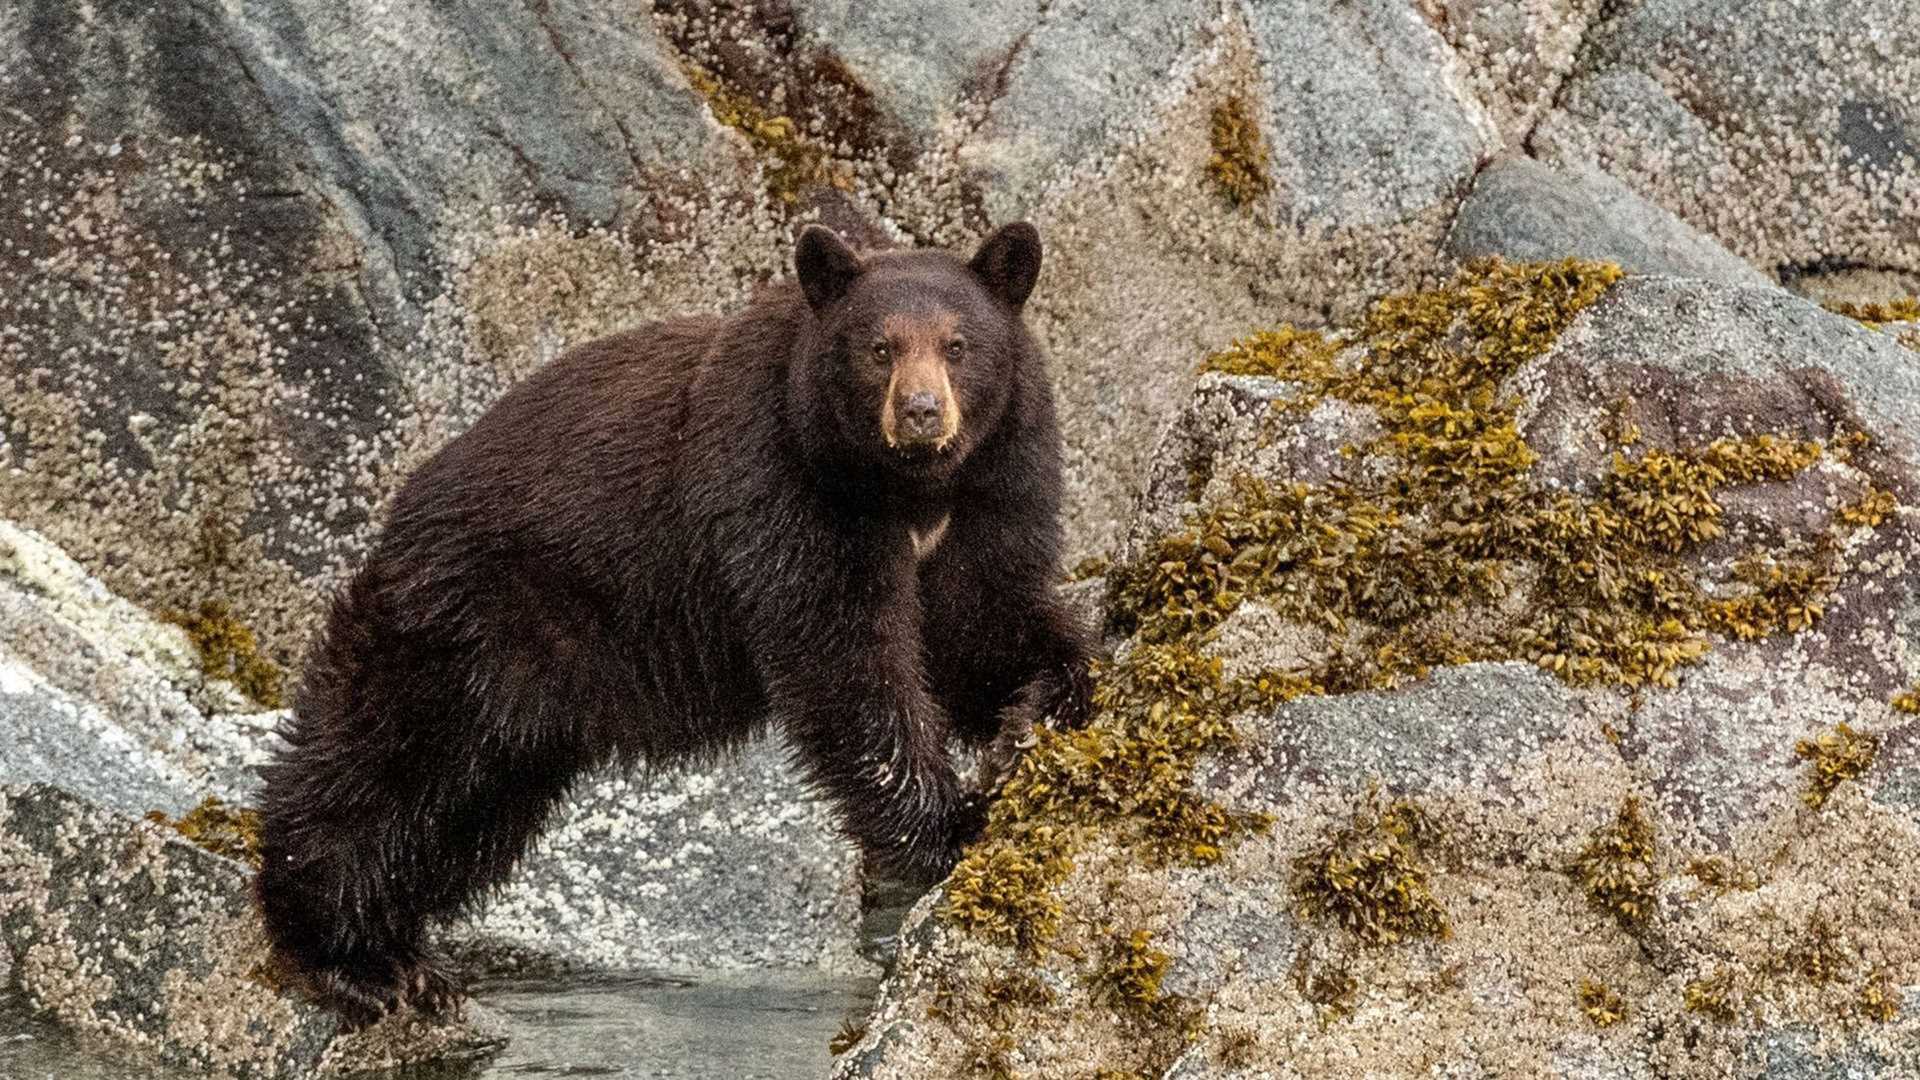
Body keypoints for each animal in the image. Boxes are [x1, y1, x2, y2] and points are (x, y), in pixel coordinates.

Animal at [255, 220, 1098, 1014]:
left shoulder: (990, 490)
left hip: (521, 712)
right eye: (879, 348)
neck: (909, 492)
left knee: (462, 813)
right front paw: (951, 823)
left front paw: (1037, 711)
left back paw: (396, 947)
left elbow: (980, 625)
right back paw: (351, 955)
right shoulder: (784, 487)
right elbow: (846, 661)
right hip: (471, 624)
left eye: (958, 345)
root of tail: (402, 508)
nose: (922, 413)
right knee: (382, 760)